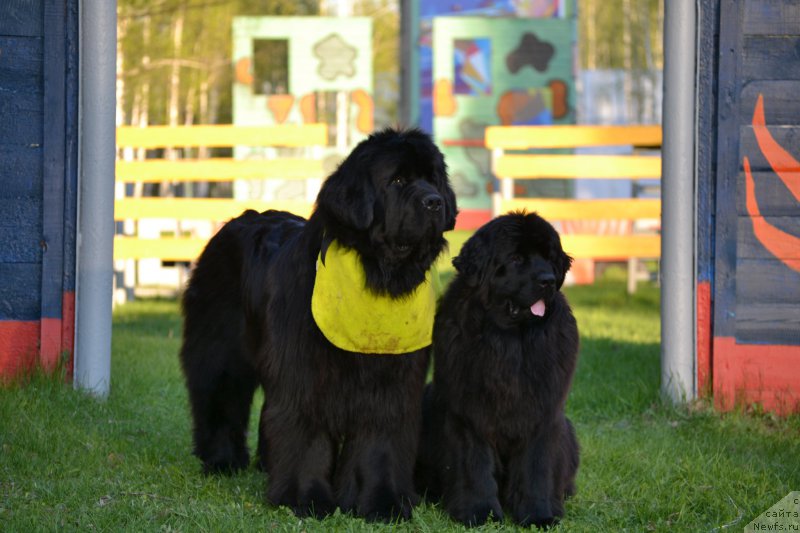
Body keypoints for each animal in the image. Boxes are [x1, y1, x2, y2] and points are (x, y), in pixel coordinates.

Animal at [180, 128, 456, 520]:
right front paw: (304, 498)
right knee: (219, 396)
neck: (378, 275)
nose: (434, 202)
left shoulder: (391, 383)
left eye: (433, 179)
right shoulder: (304, 373)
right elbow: (306, 436)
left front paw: (382, 502)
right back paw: (221, 460)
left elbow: (381, 441)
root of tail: (234, 222)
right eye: (398, 181)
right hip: (220, 349)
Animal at [416, 212, 580, 528]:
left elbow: (536, 467)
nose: (548, 280)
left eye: (549, 258)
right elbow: (475, 465)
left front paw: (539, 514)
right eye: (516, 258)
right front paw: (479, 512)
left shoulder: (543, 414)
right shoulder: (468, 415)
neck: (510, 342)